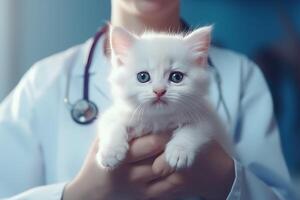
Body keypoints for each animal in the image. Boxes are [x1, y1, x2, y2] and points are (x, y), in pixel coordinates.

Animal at [96, 24, 230, 170]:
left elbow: (192, 130)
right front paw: (110, 153)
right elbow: (113, 124)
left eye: (176, 77)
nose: (159, 91)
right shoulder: (113, 114)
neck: (159, 118)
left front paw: (179, 151)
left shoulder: (206, 118)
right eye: (143, 77)